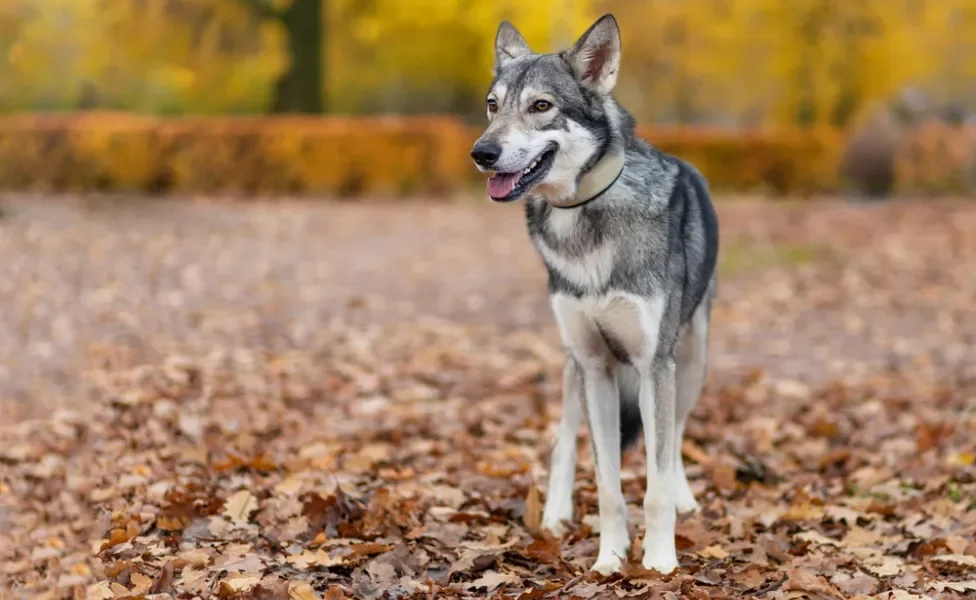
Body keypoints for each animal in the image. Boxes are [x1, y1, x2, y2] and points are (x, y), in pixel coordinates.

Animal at [468, 15, 720, 576]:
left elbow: (655, 479)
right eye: (493, 105)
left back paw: (684, 499)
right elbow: (608, 486)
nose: (482, 154)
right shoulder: (596, 366)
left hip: (691, 364)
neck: (583, 217)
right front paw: (609, 559)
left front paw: (659, 561)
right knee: (564, 441)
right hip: (572, 366)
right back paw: (556, 515)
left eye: (542, 106)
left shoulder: (654, 364)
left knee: (674, 437)